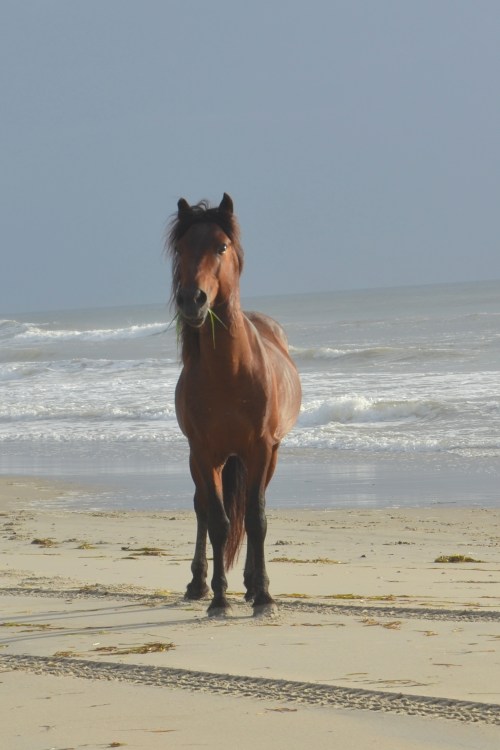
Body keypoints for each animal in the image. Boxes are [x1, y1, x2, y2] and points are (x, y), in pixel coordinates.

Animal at [167, 193, 301, 616]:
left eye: (221, 246)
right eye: (181, 248)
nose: (192, 300)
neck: (229, 373)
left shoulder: (260, 449)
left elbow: (256, 520)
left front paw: (264, 597)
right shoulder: (204, 453)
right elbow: (218, 522)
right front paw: (219, 599)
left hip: (265, 456)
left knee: (251, 509)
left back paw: (253, 585)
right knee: (202, 509)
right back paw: (198, 585)